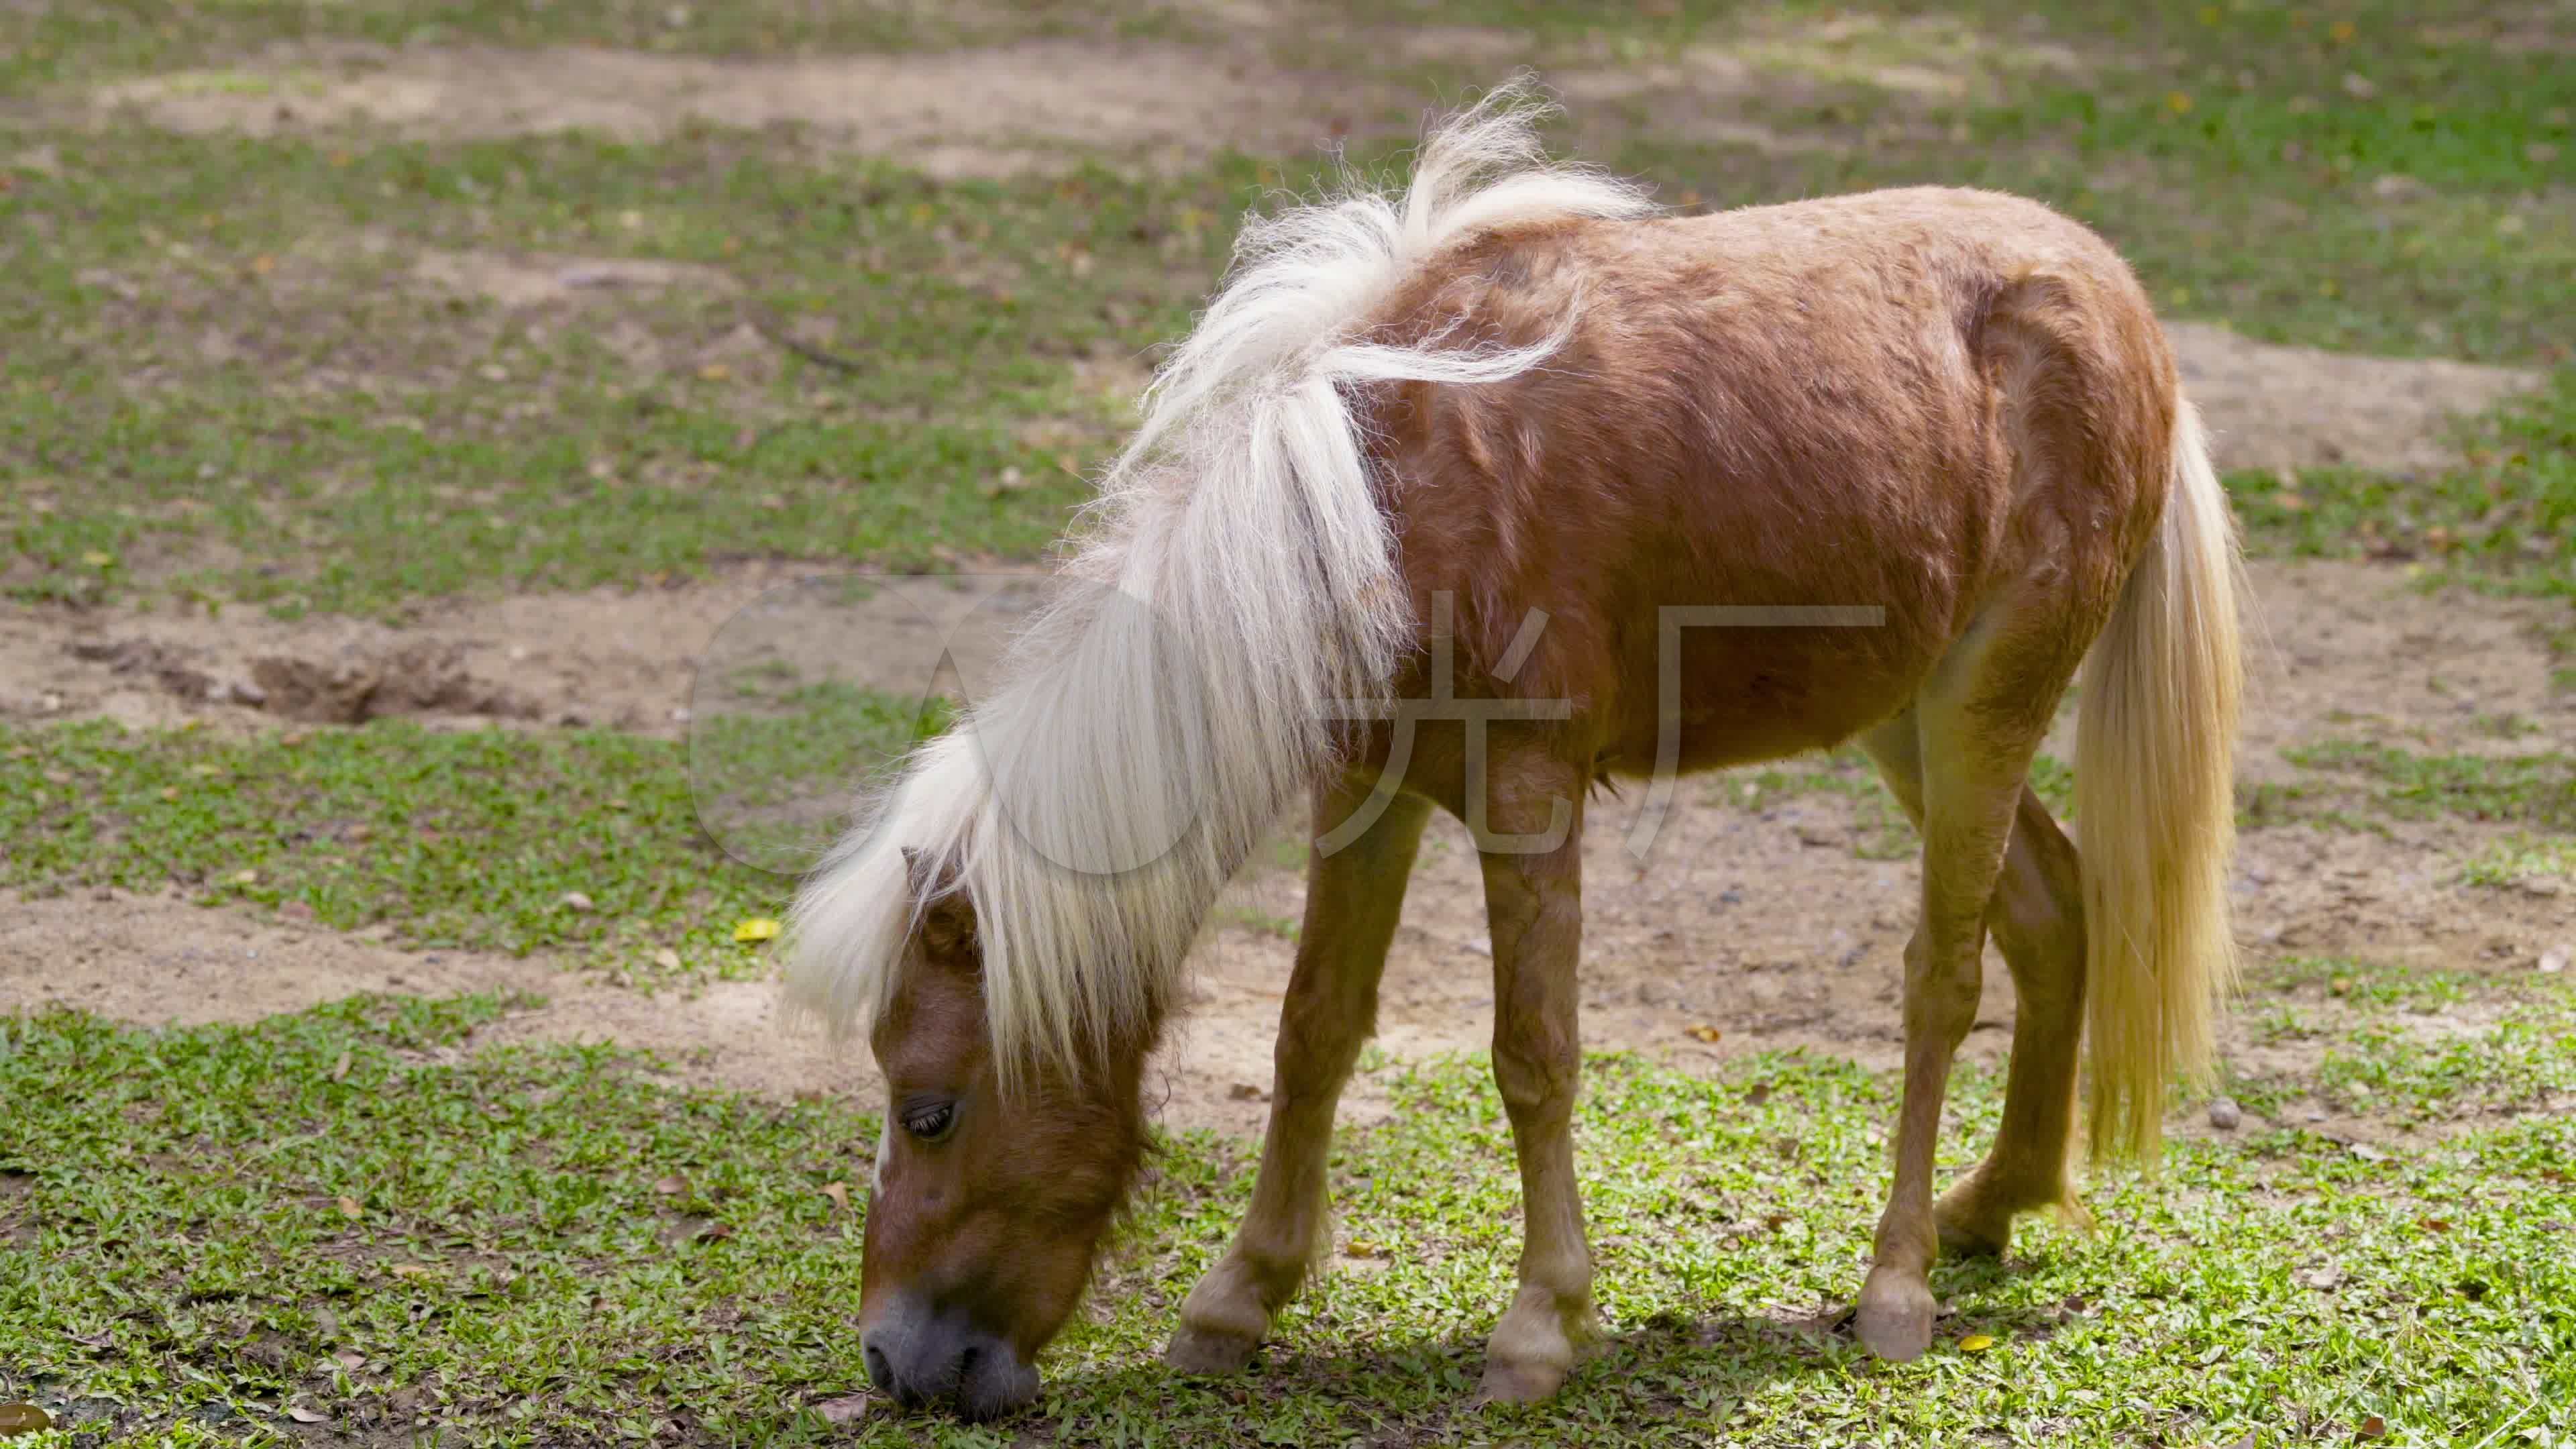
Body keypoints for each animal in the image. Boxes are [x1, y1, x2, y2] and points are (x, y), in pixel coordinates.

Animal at [777, 84, 2236, 1413]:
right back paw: (1993, 1205)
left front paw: (1541, 1325)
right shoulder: (1367, 789)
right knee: (2049, 908)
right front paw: (1238, 1298)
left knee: (1944, 978)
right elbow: (1313, 1031)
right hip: (1904, 720)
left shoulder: (1528, 797)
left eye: (929, 1109)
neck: (1377, 501)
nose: (897, 1364)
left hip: (1983, 705)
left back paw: (1898, 1283)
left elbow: (1533, 1058)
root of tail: (2123, 307)